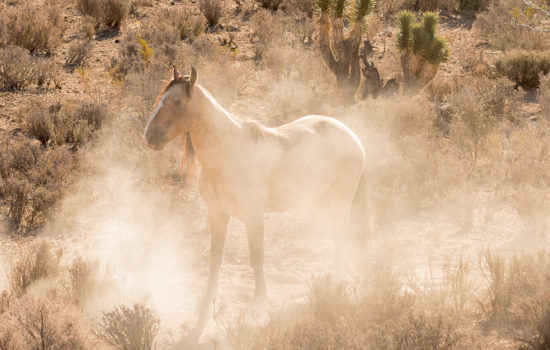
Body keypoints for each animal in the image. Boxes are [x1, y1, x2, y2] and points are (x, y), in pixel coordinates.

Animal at [144, 66, 368, 340]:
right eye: (160, 99)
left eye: (176, 102)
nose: (149, 136)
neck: (226, 153)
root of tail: (351, 135)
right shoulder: (217, 214)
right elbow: (215, 260)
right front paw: (207, 302)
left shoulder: (253, 217)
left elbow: (256, 258)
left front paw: (260, 305)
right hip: (318, 203)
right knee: (335, 237)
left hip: (340, 202)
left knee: (342, 235)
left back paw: (338, 282)